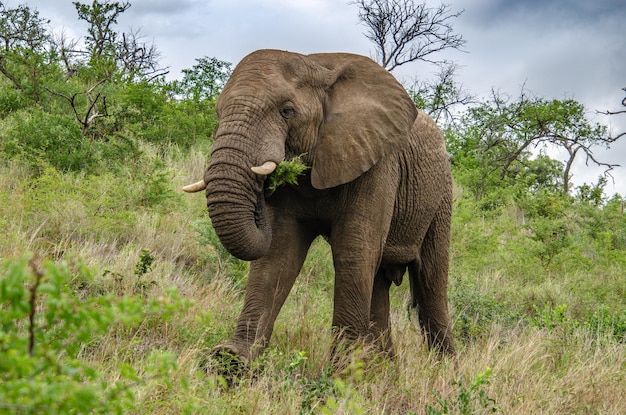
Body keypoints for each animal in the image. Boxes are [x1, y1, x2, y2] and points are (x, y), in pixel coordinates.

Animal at [184, 48, 454, 364]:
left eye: (287, 111)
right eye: (218, 113)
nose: (262, 188)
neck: (317, 65)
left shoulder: (378, 164)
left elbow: (354, 250)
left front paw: (341, 372)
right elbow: (279, 252)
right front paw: (232, 361)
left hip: (442, 196)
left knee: (431, 282)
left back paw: (444, 369)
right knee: (379, 282)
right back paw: (383, 371)